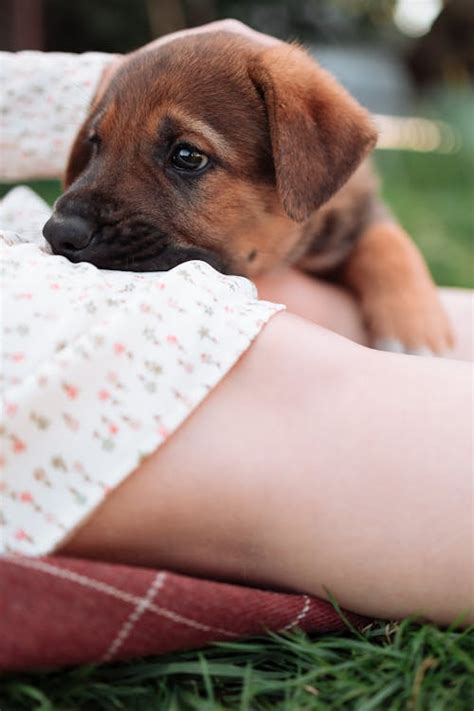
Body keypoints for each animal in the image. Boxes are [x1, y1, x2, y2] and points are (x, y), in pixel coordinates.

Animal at [43, 31, 452, 354]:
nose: (58, 232)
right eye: (96, 144)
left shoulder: (359, 209)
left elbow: (388, 239)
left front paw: (416, 331)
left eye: (187, 156)